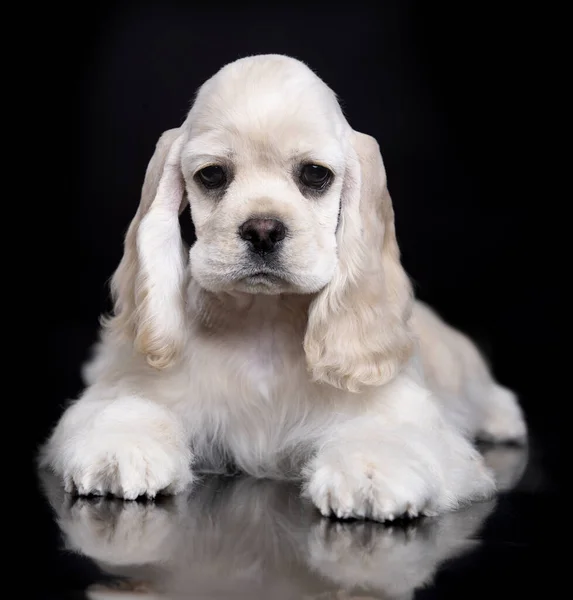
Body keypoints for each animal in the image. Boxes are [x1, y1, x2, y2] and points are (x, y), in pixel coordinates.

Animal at [38, 54, 524, 520]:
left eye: (314, 174)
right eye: (212, 175)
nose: (263, 230)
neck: (263, 320)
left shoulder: (405, 412)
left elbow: (392, 433)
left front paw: (371, 474)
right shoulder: (136, 387)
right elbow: (125, 407)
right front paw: (121, 451)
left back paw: (505, 421)